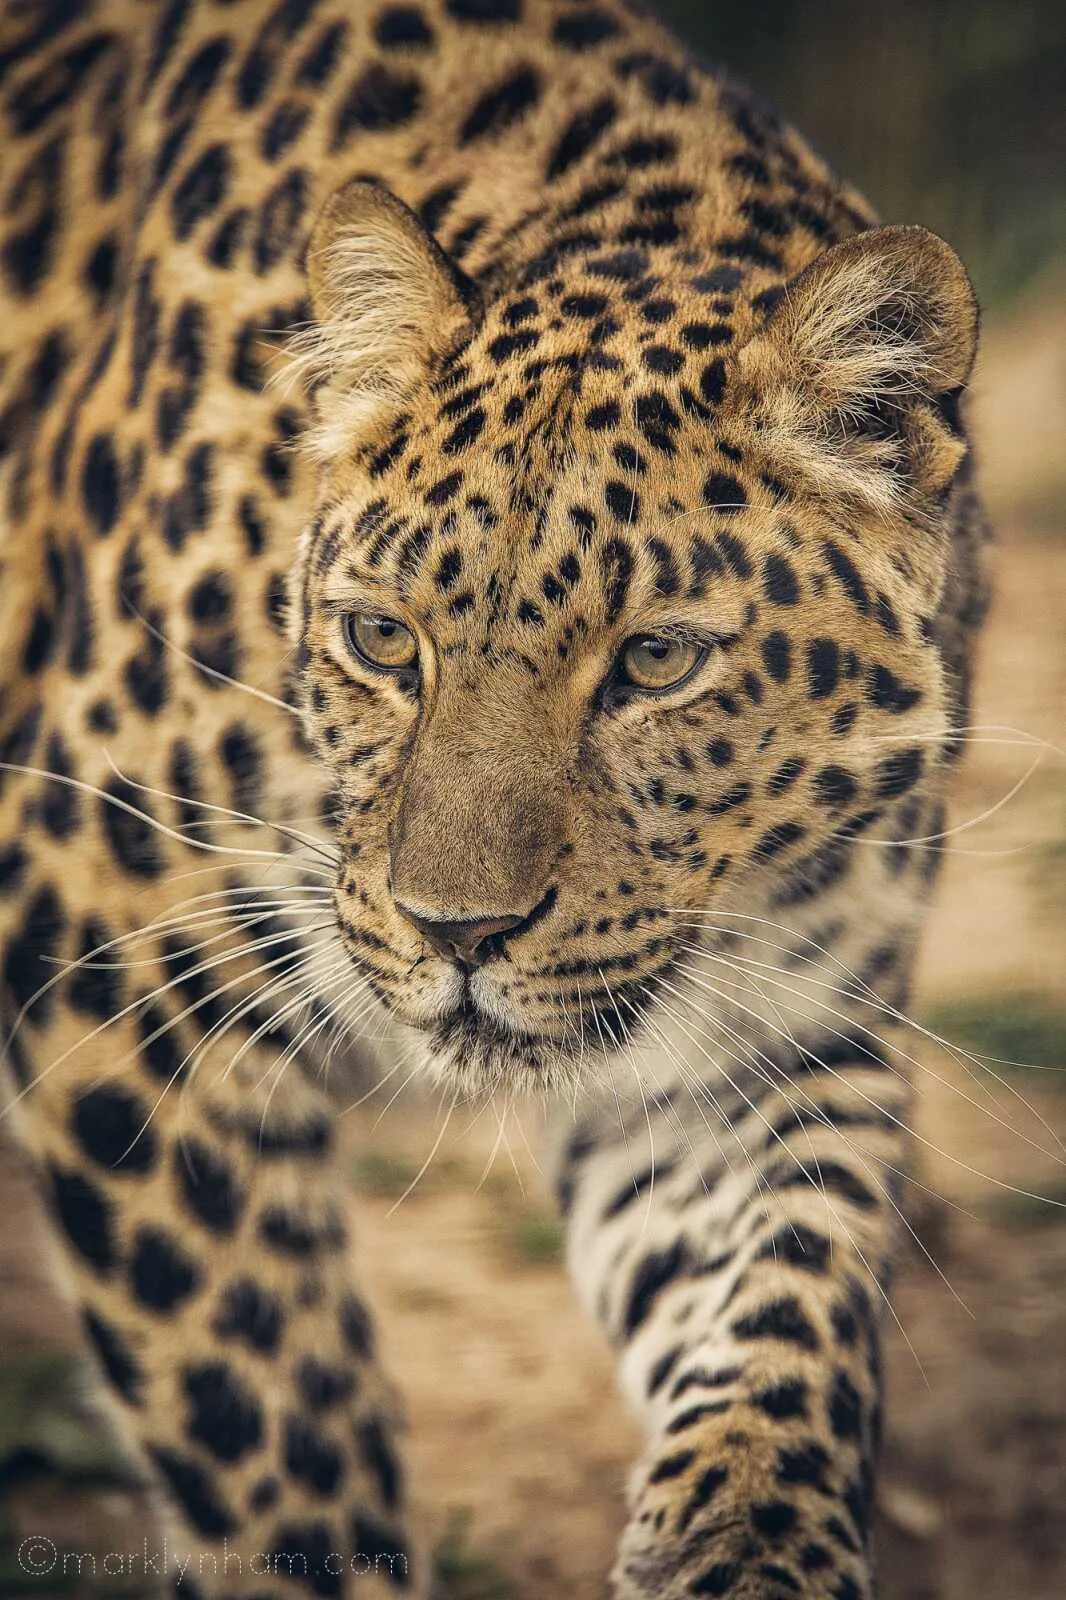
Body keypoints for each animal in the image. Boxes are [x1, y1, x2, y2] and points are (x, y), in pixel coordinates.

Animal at [0, 1, 992, 1597]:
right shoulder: (114, 960)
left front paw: (746, 1541)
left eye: (655, 660)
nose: (457, 934)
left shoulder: (760, 1042)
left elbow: (788, 1292)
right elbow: (268, 1420)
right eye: (380, 640)